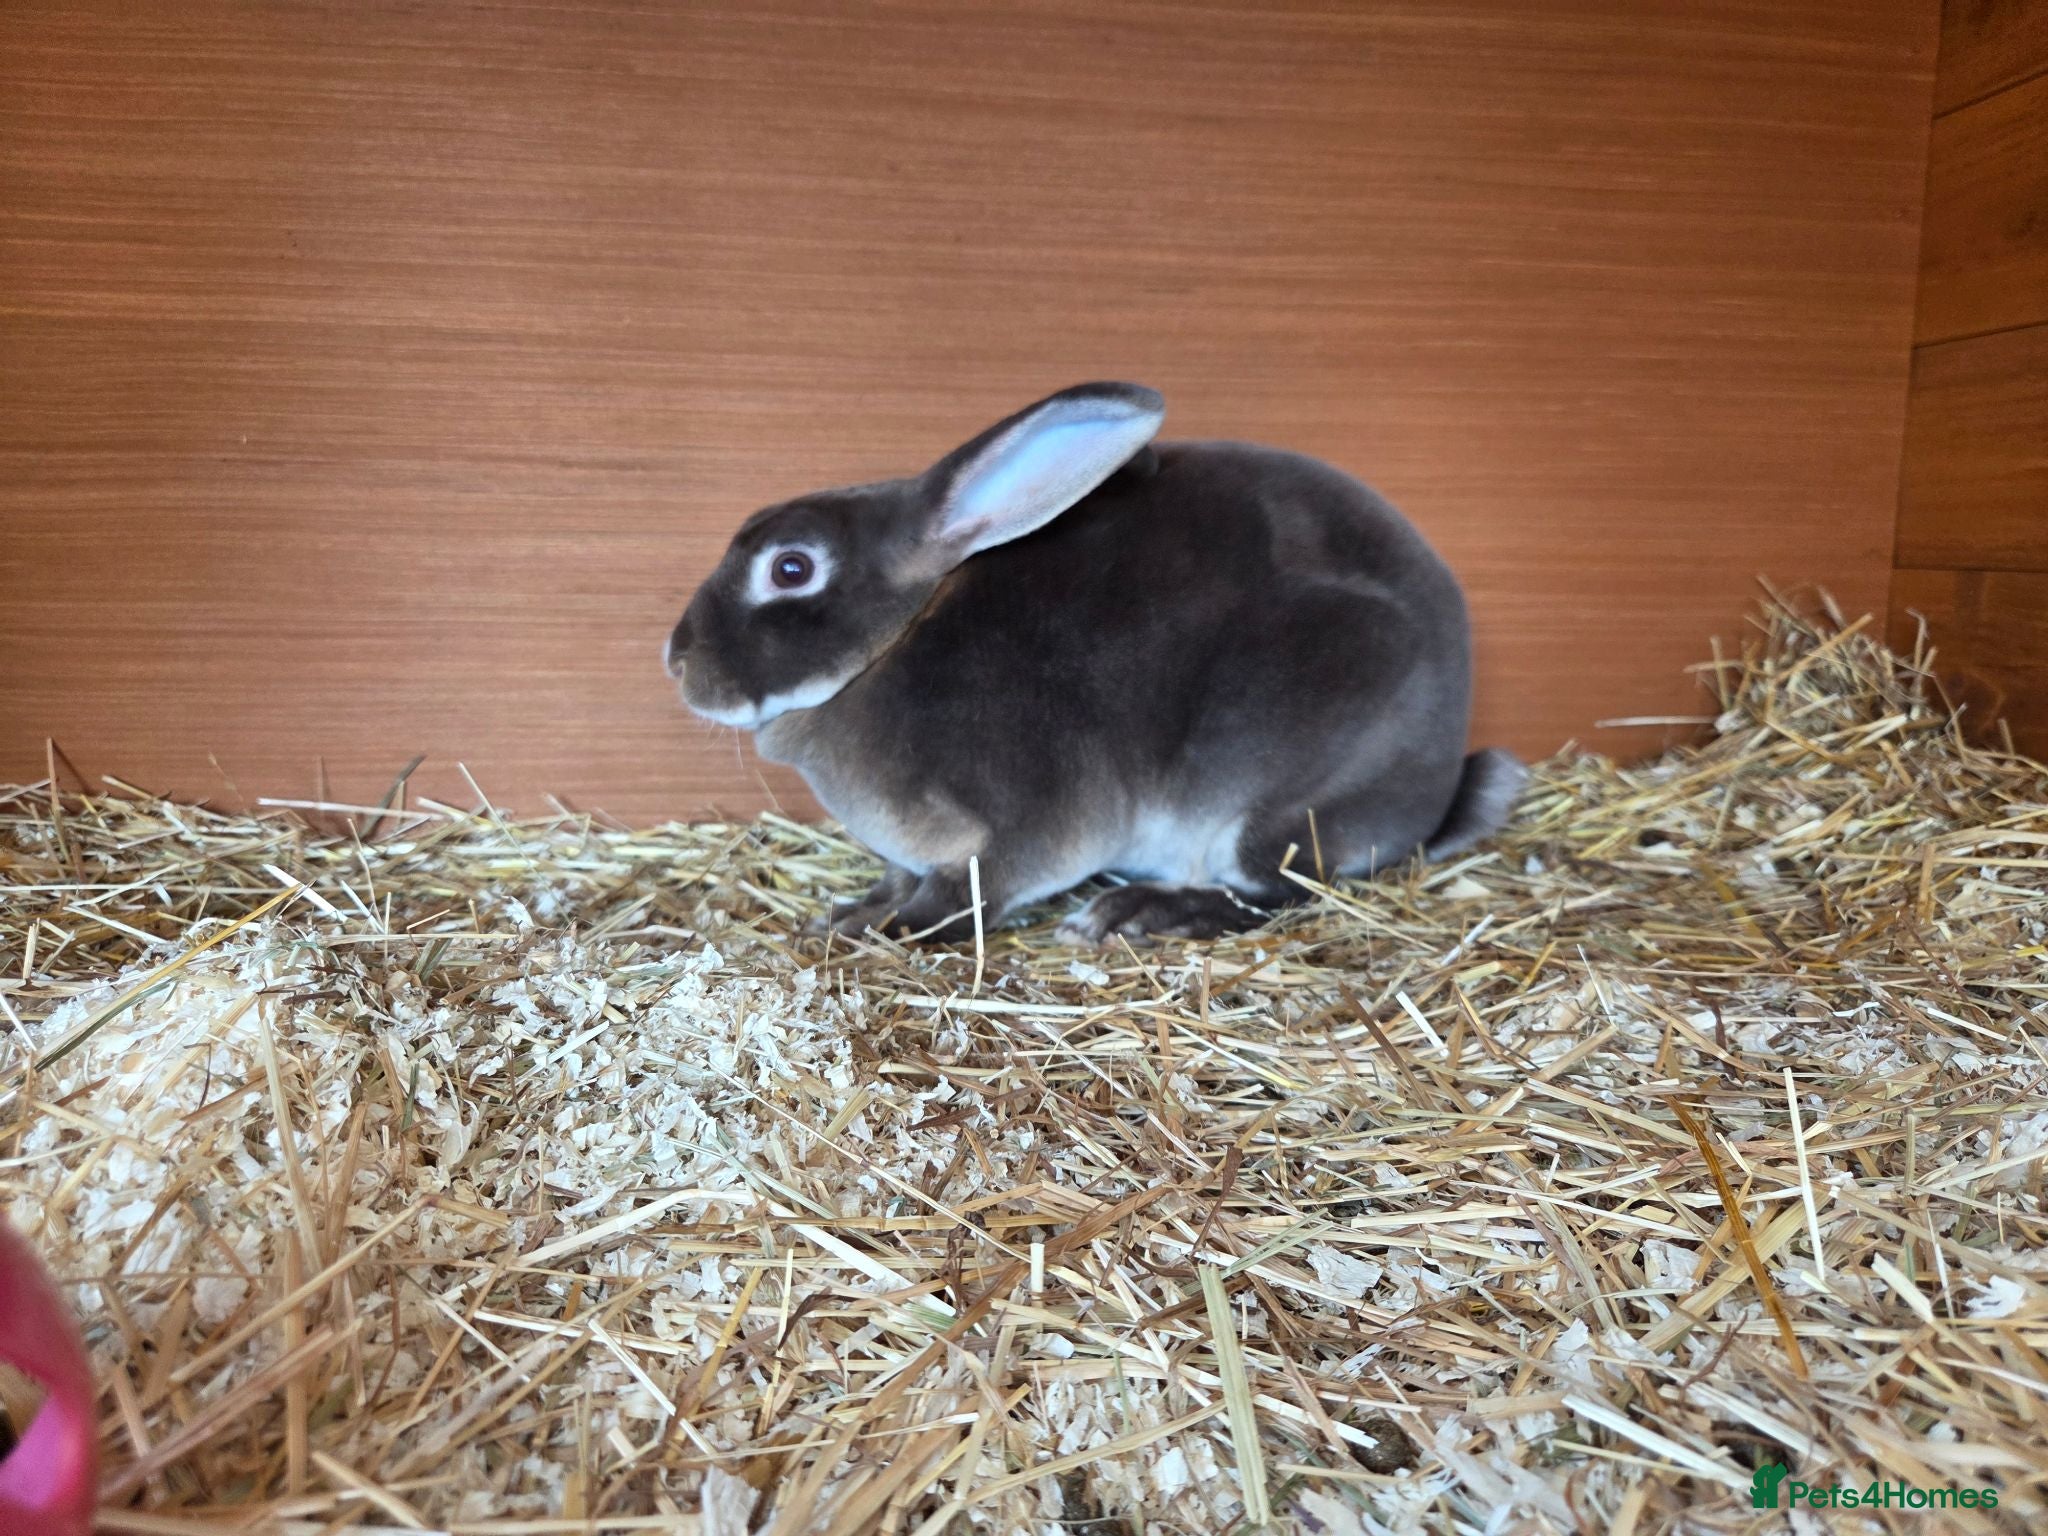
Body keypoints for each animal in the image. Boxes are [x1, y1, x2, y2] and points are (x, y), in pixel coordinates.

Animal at [665, 381, 1525, 945]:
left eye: (791, 568)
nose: (675, 660)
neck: (891, 646)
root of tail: (1435, 794)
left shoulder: (1027, 826)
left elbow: (972, 892)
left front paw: (887, 927)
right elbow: (899, 876)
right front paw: (851, 910)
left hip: (1281, 802)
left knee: (1282, 891)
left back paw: (1140, 912)